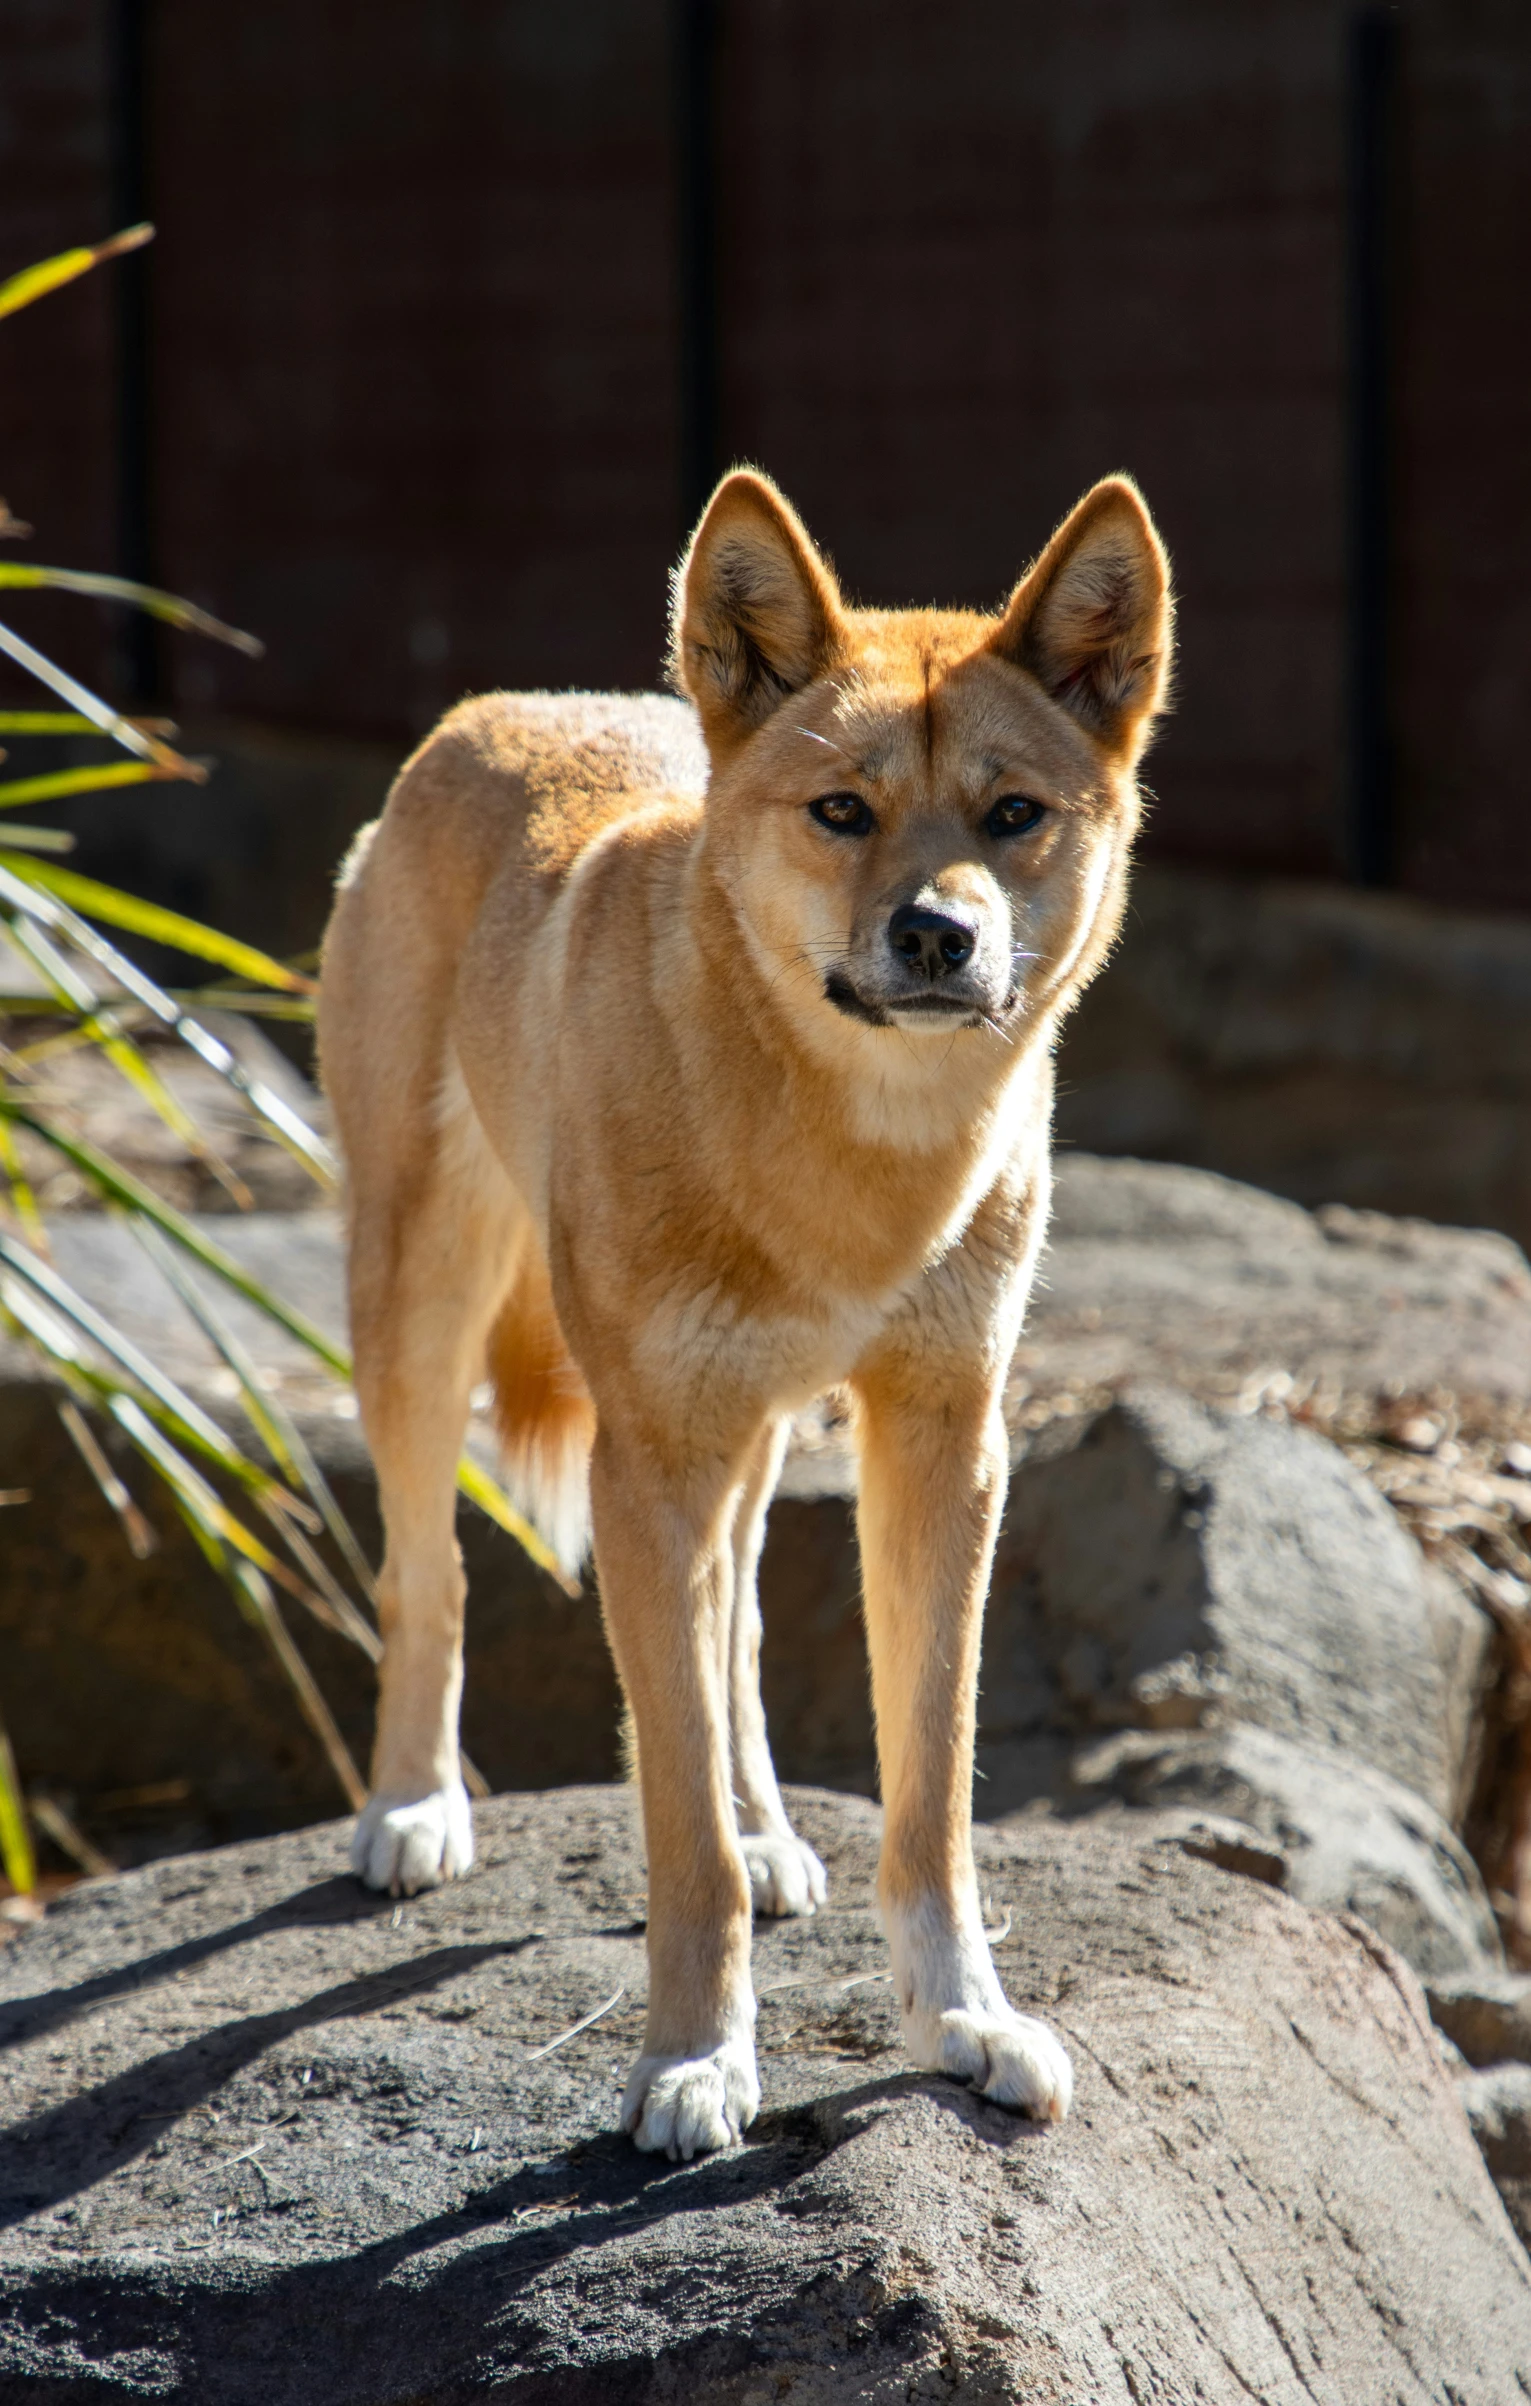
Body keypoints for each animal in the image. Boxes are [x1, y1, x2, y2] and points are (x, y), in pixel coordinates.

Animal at [312, 469, 1169, 2165]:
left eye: (1010, 815)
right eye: (841, 811)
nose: (935, 935)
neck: (852, 1154)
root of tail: (500, 708)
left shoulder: (943, 1445)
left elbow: (926, 1788)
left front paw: (961, 2020)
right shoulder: (646, 1466)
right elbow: (676, 1831)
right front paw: (693, 2058)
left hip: (755, 1430)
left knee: (738, 1630)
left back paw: (771, 1825)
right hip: (422, 1313)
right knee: (429, 1574)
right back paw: (414, 1805)